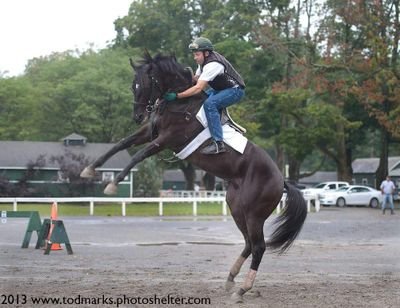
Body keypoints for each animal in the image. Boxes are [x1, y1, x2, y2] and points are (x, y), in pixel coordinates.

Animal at [80, 51, 306, 302]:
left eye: (147, 84)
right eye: (133, 85)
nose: (137, 116)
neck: (178, 102)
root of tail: (281, 180)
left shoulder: (166, 139)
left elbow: (138, 155)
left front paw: (112, 183)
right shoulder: (150, 132)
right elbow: (121, 144)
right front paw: (90, 169)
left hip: (255, 214)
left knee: (259, 247)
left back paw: (242, 289)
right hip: (237, 208)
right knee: (248, 243)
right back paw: (230, 280)